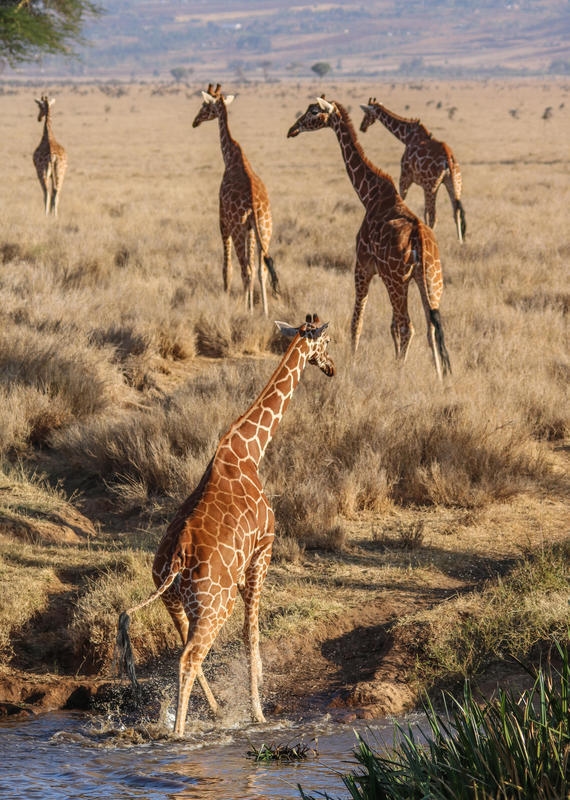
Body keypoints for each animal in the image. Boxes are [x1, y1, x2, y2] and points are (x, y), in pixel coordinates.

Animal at [115, 314, 335, 735]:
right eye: (326, 342)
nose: (332, 367)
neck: (249, 449)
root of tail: (176, 561)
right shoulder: (263, 549)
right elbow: (252, 633)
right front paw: (258, 711)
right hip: (215, 604)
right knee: (189, 658)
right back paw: (180, 733)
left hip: (175, 601)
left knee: (185, 650)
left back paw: (212, 712)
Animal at [192, 84, 279, 316]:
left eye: (205, 105)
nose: (195, 121)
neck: (230, 157)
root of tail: (255, 205)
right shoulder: (250, 229)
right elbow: (255, 268)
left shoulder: (223, 219)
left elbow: (227, 268)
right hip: (264, 230)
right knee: (261, 269)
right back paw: (265, 312)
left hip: (239, 229)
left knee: (245, 269)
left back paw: (249, 311)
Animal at [287, 97, 451, 379]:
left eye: (313, 111)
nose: (292, 129)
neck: (369, 195)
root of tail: (420, 239)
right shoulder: (386, 275)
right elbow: (390, 325)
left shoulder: (363, 266)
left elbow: (358, 321)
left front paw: (352, 361)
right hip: (429, 281)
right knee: (430, 327)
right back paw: (440, 378)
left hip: (399, 280)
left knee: (408, 326)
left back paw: (400, 372)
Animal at [359, 99, 466, 243]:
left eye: (366, 113)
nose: (362, 127)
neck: (406, 136)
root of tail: (448, 158)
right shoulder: (423, 185)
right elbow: (424, 212)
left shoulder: (405, 177)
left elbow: (402, 200)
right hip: (454, 183)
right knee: (456, 212)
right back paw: (460, 242)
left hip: (432, 186)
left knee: (434, 216)